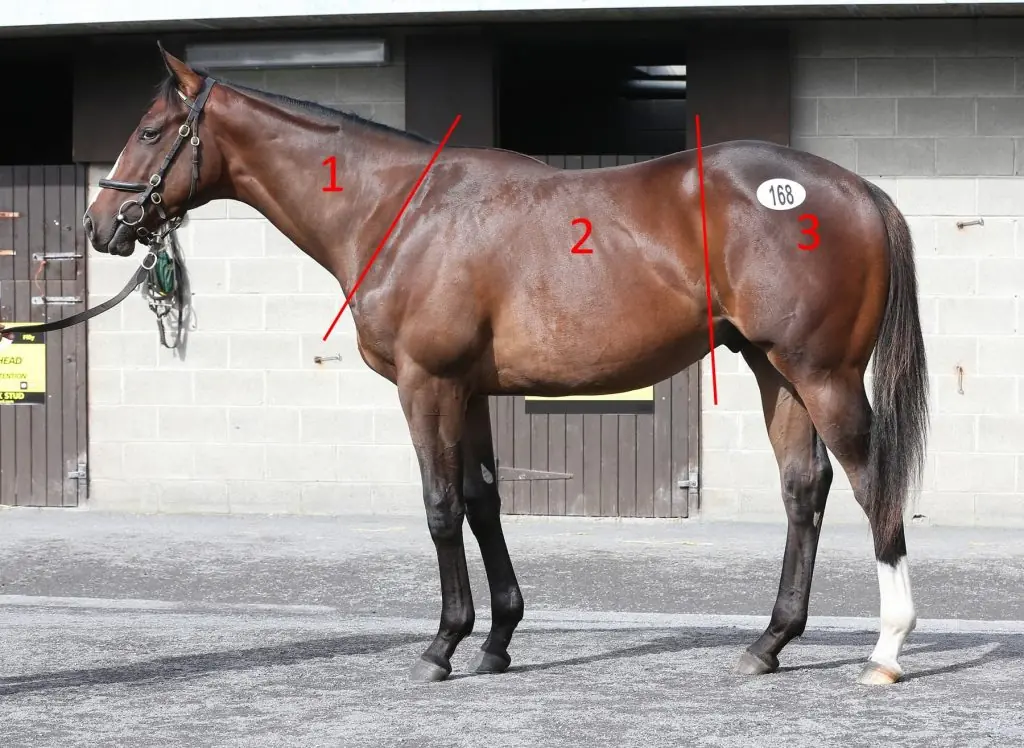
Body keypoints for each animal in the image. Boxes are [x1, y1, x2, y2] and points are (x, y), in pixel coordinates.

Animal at [83, 44, 929, 686]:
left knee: (871, 484)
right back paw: (768, 643)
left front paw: (441, 645)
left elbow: (438, 506)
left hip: (820, 374)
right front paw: (495, 641)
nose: (100, 224)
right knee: (804, 489)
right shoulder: (471, 391)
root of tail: (858, 187)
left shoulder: (426, 384)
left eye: (151, 130)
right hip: (774, 370)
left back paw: (886, 649)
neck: (401, 210)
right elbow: (483, 500)